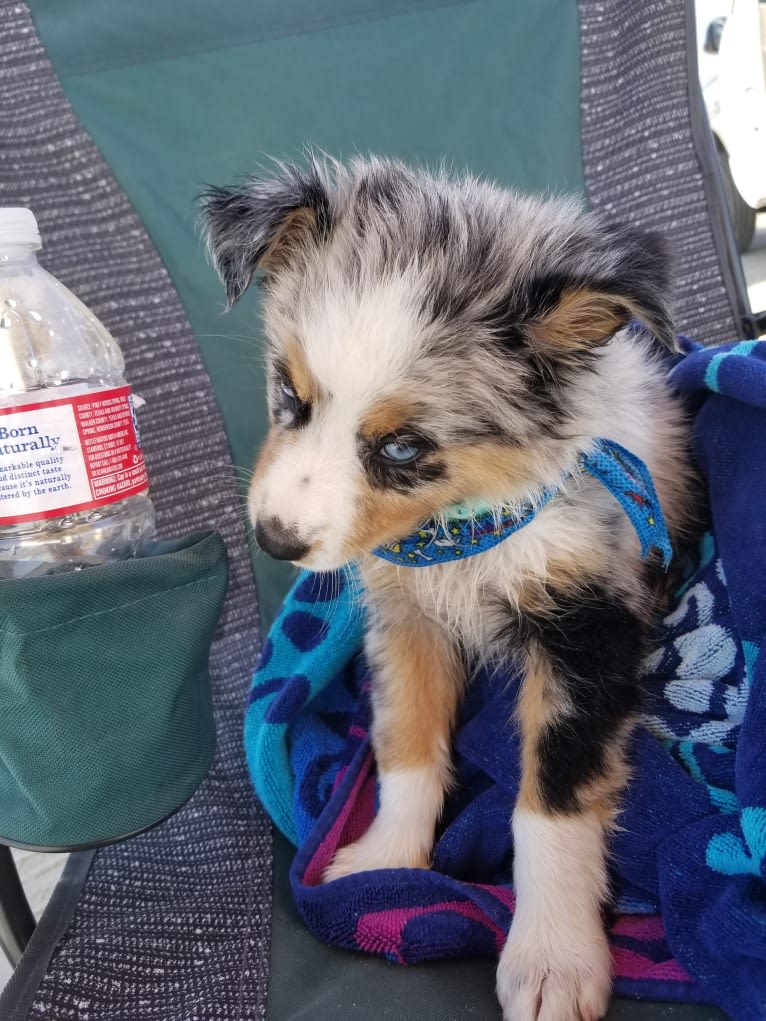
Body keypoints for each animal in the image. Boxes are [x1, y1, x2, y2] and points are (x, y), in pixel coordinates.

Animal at [201, 157, 698, 1021]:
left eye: (404, 447)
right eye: (290, 395)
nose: (275, 539)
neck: (463, 531)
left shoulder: (588, 627)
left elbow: (552, 801)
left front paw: (553, 957)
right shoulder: (404, 618)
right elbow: (406, 741)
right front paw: (386, 858)